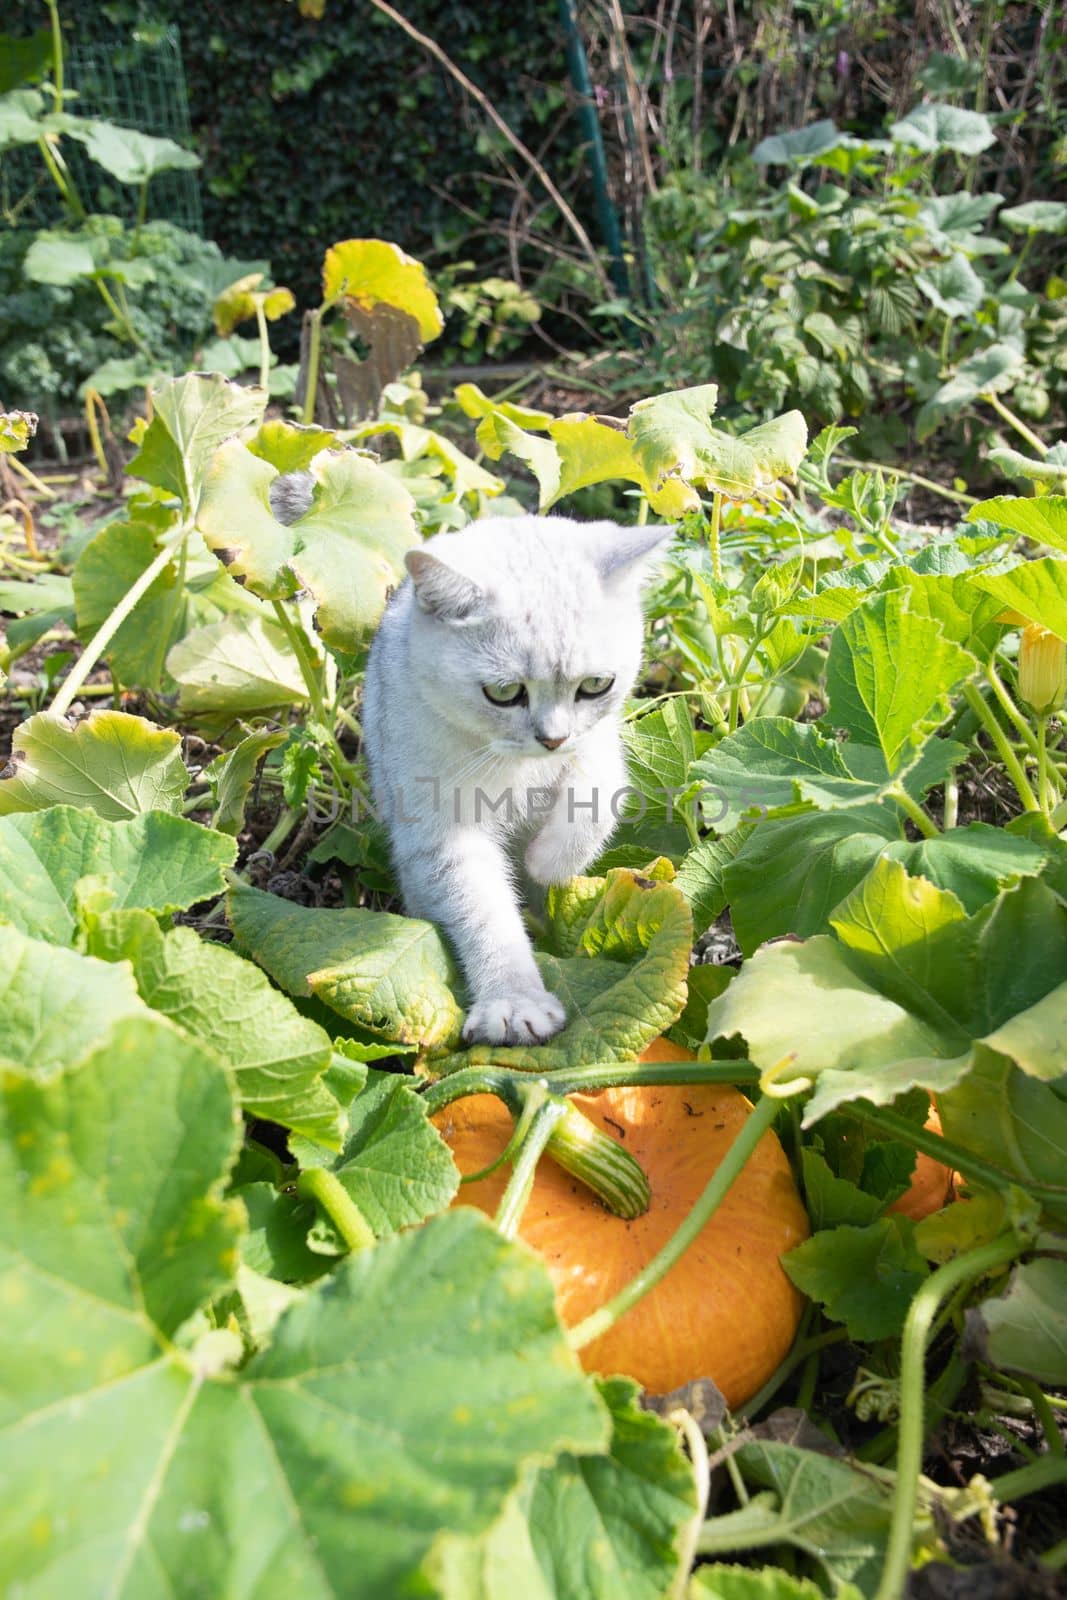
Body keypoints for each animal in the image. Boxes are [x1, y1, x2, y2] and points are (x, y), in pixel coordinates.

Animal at [363, 515, 671, 1049]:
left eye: (596, 685)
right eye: (504, 693)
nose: (552, 738)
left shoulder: (599, 744)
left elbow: (596, 799)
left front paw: (546, 862)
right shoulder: (441, 835)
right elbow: (487, 913)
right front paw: (514, 1003)